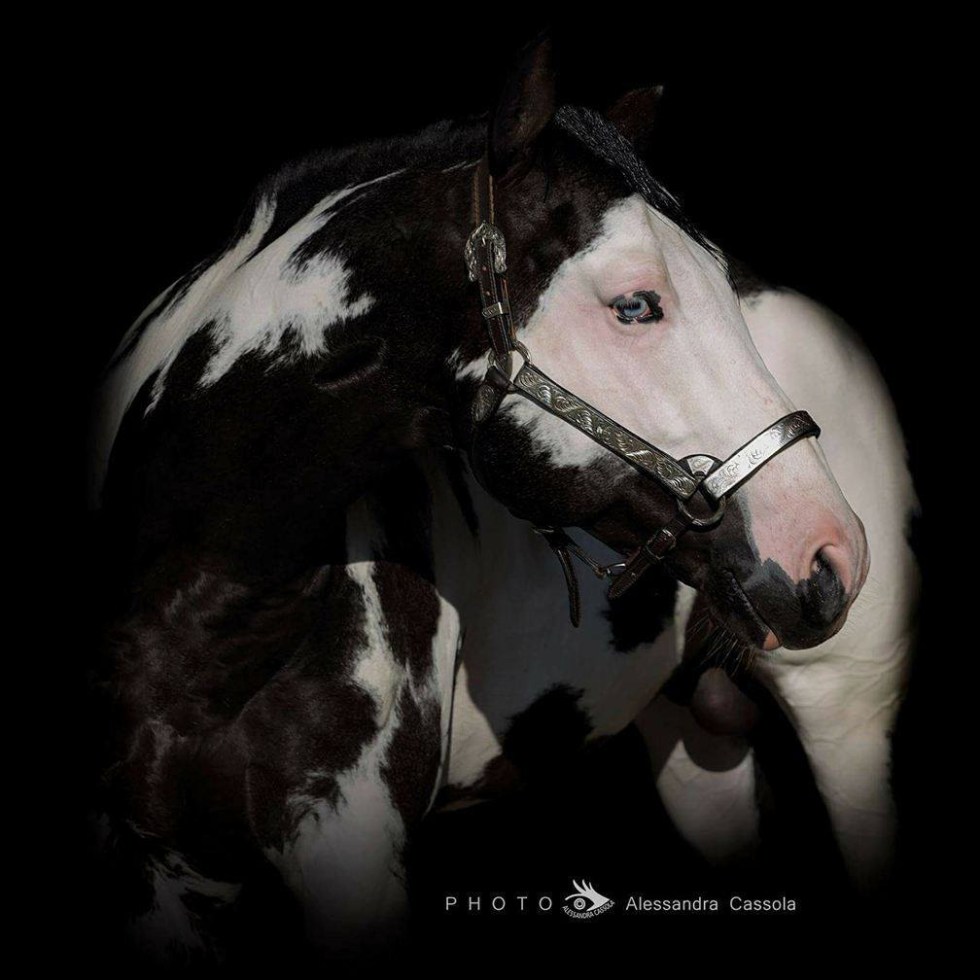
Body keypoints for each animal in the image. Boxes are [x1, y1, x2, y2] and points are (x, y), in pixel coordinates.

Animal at [89, 37, 883, 964]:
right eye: (635, 305)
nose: (829, 554)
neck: (200, 619)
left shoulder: (350, 861)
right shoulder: (154, 881)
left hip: (850, 720)